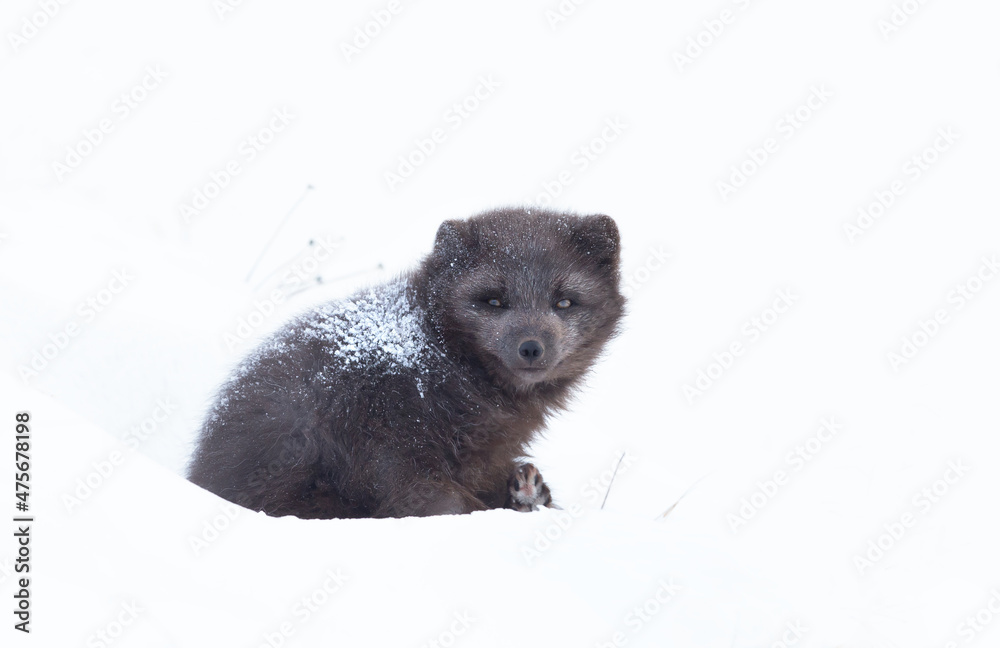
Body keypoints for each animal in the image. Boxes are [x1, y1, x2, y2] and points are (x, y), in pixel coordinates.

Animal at [187, 207, 624, 519]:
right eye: (493, 300)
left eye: (564, 301)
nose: (531, 348)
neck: (444, 363)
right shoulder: (388, 443)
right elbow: (446, 503)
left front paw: (528, 493)